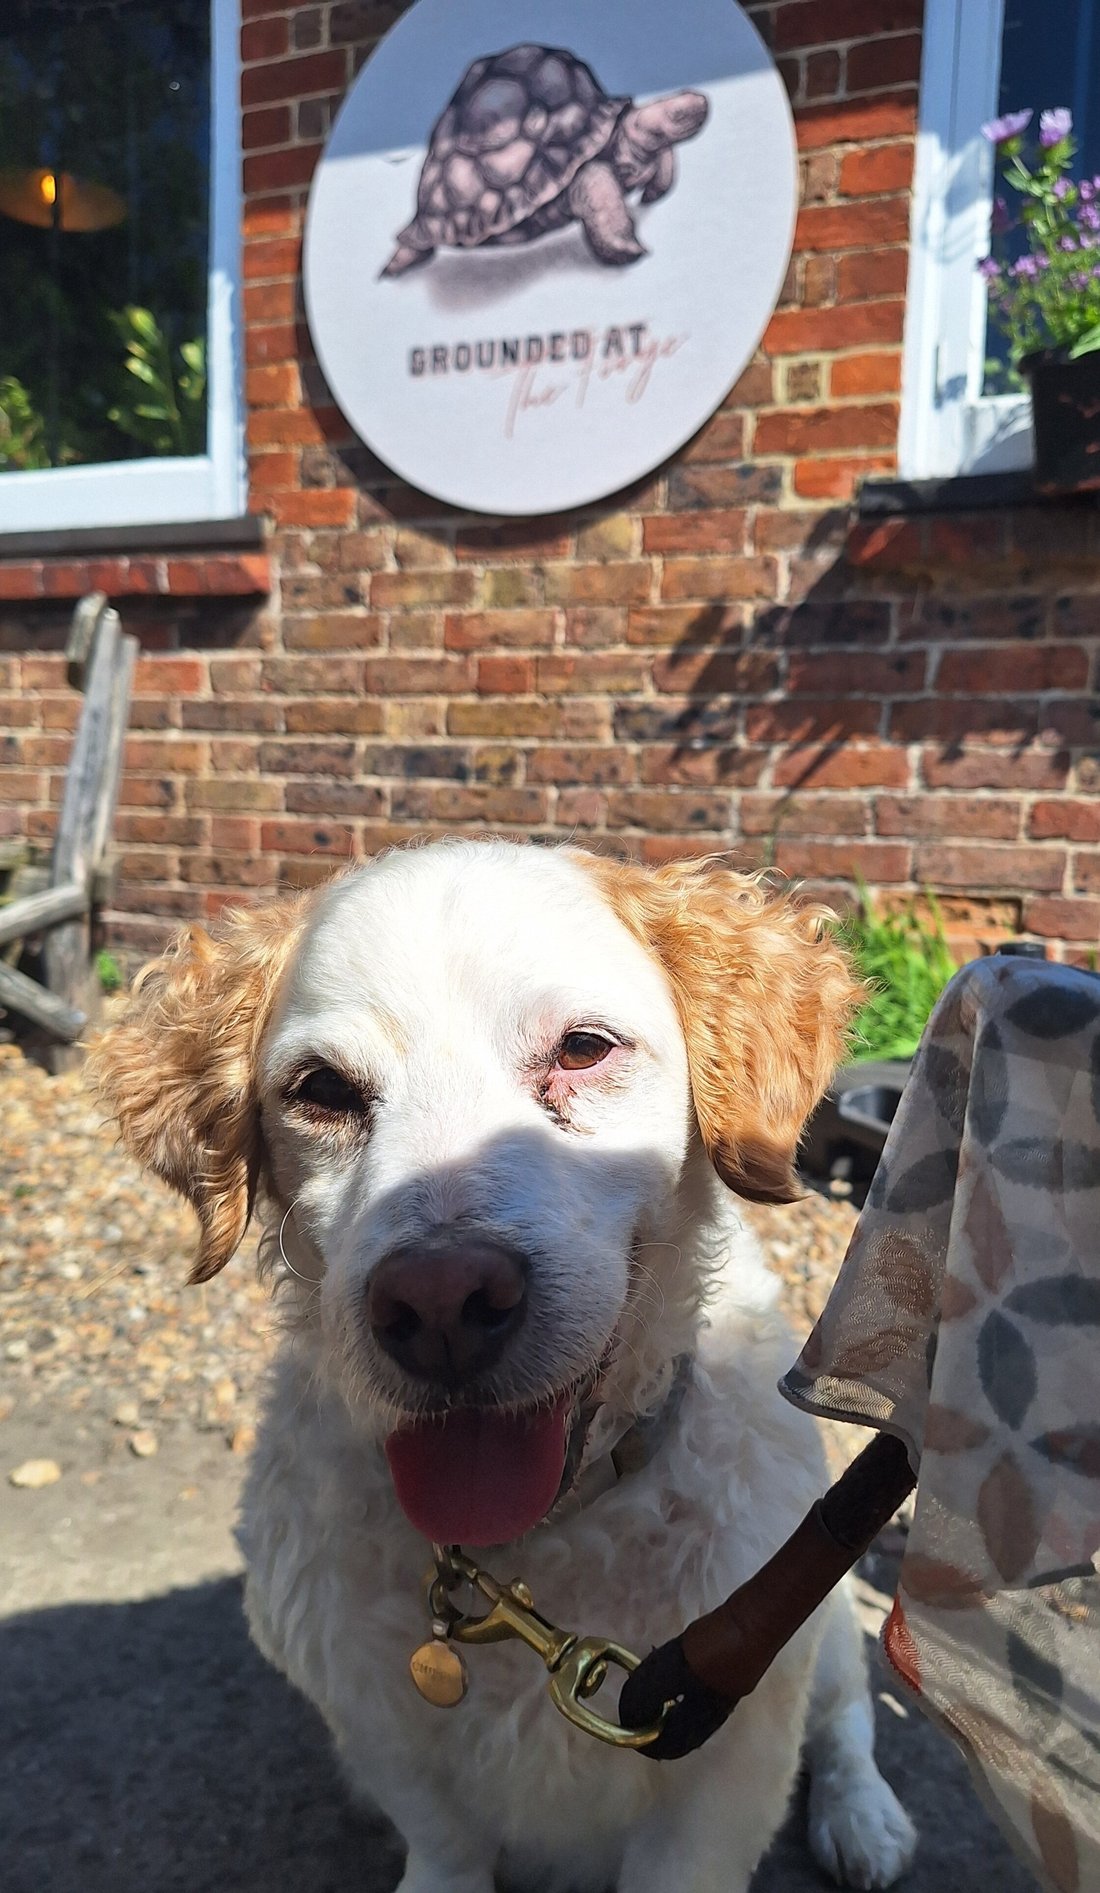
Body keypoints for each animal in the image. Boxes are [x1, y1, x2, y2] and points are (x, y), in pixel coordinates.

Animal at [92, 844, 916, 1893]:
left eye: (583, 1048)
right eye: (322, 1089)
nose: (441, 1302)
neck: (525, 1560)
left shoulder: (727, 1754)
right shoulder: (383, 1726)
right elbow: (444, 1843)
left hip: (821, 1628)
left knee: (847, 1722)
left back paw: (865, 1819)